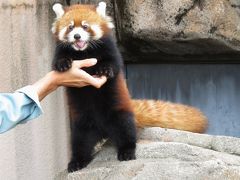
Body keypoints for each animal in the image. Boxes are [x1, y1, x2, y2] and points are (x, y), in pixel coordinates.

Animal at [51, 1, 207, 173]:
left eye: (85, 27)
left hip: (118, 111)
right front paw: (63, 64)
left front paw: (105, 69)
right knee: (80, 142)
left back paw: (127, 151)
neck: (84, 52)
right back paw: (77, 162)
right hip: (81, 123)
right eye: (70, 27)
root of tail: (102, 130)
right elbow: (58, 60)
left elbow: (113, 62)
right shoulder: (61, 50)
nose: (77, 36)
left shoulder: (110, 49)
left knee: (125, 130)